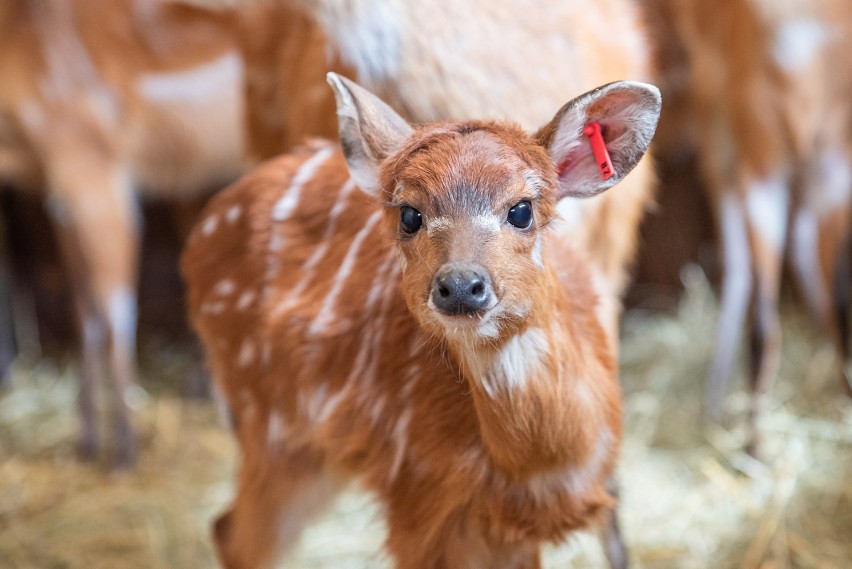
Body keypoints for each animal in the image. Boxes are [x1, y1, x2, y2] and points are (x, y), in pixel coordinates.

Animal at [183, 73, 656, 564]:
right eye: (410, 215)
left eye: (522, 210)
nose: (461, 285)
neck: (539, 469)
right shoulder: (418, 501)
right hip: (272, 427)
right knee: (233, 533)